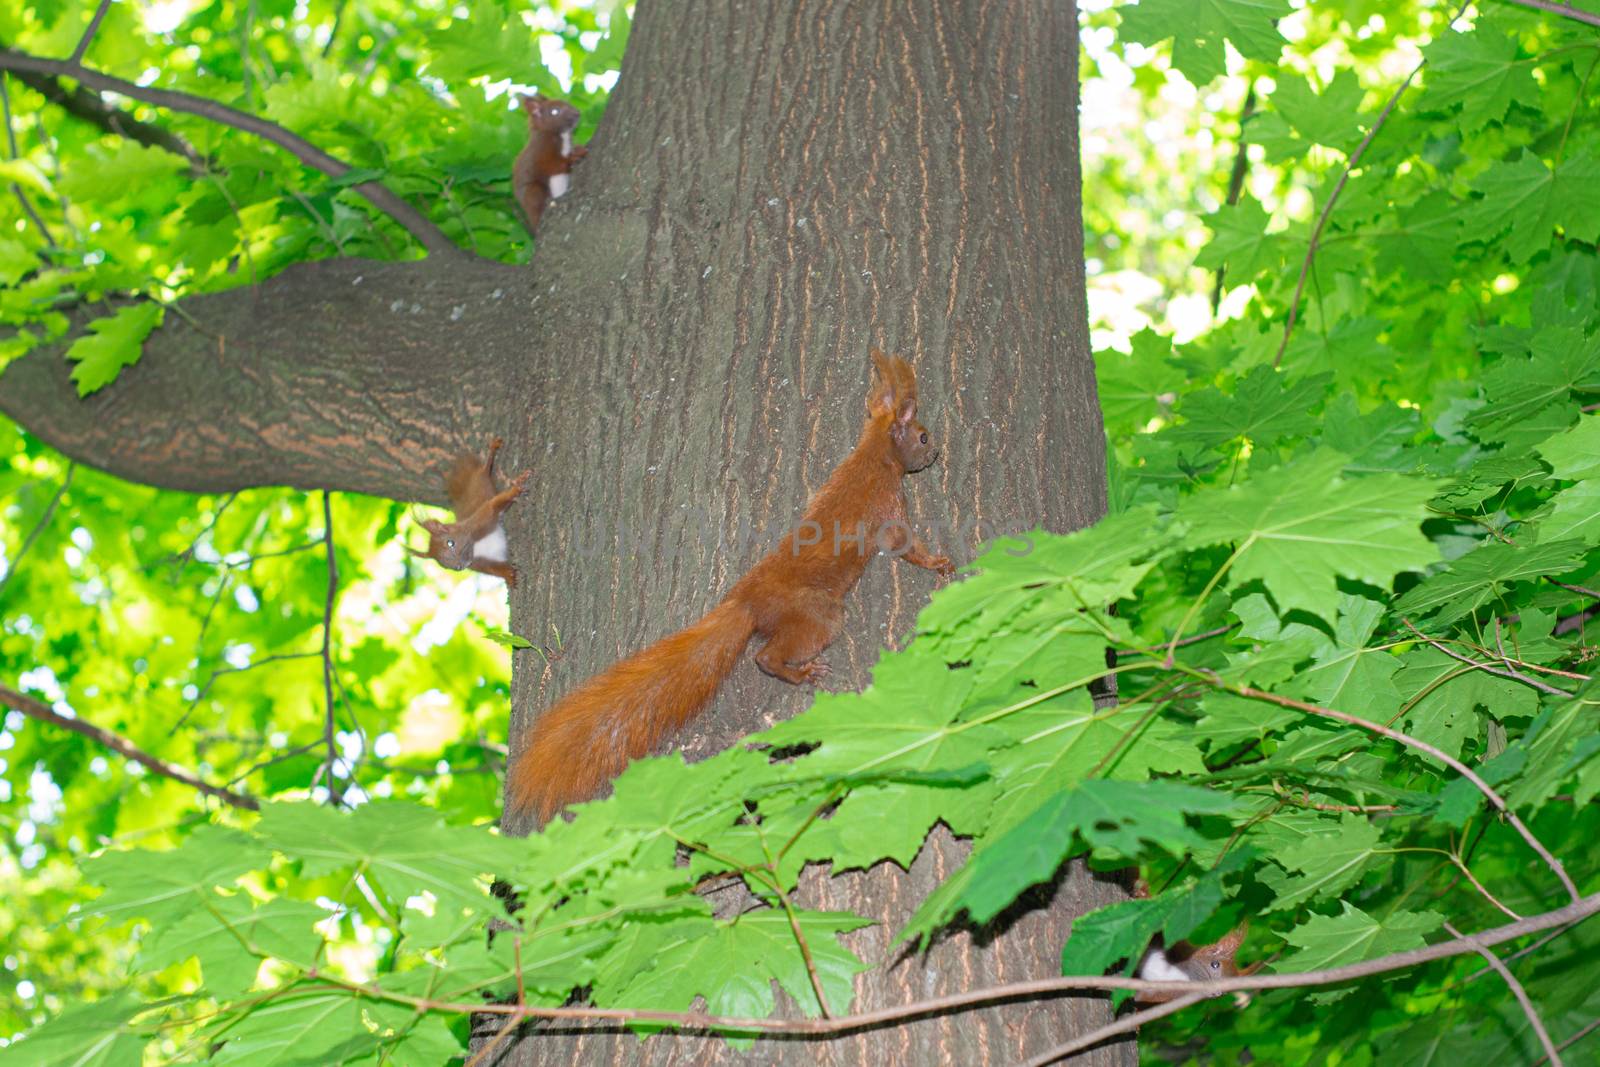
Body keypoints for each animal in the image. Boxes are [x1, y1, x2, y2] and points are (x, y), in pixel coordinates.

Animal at [406, 438, 531, 588]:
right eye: (444, 566)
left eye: (450, 543)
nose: (459, 566)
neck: (475, 546)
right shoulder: (479, 563)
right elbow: (493, 569)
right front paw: (508, 575)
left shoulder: (482, 519)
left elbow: (494, 504)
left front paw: (515, 490)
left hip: (481, 479)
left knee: (485, 467)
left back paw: (493, 447)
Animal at [508, 94, 585, 233]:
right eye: (554, 111)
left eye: (567, 102)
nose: (577, 113)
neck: (561, 134)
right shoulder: (541, 152)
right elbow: (553, 165)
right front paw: (576, 155)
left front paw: (577, 148)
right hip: (534, 191)